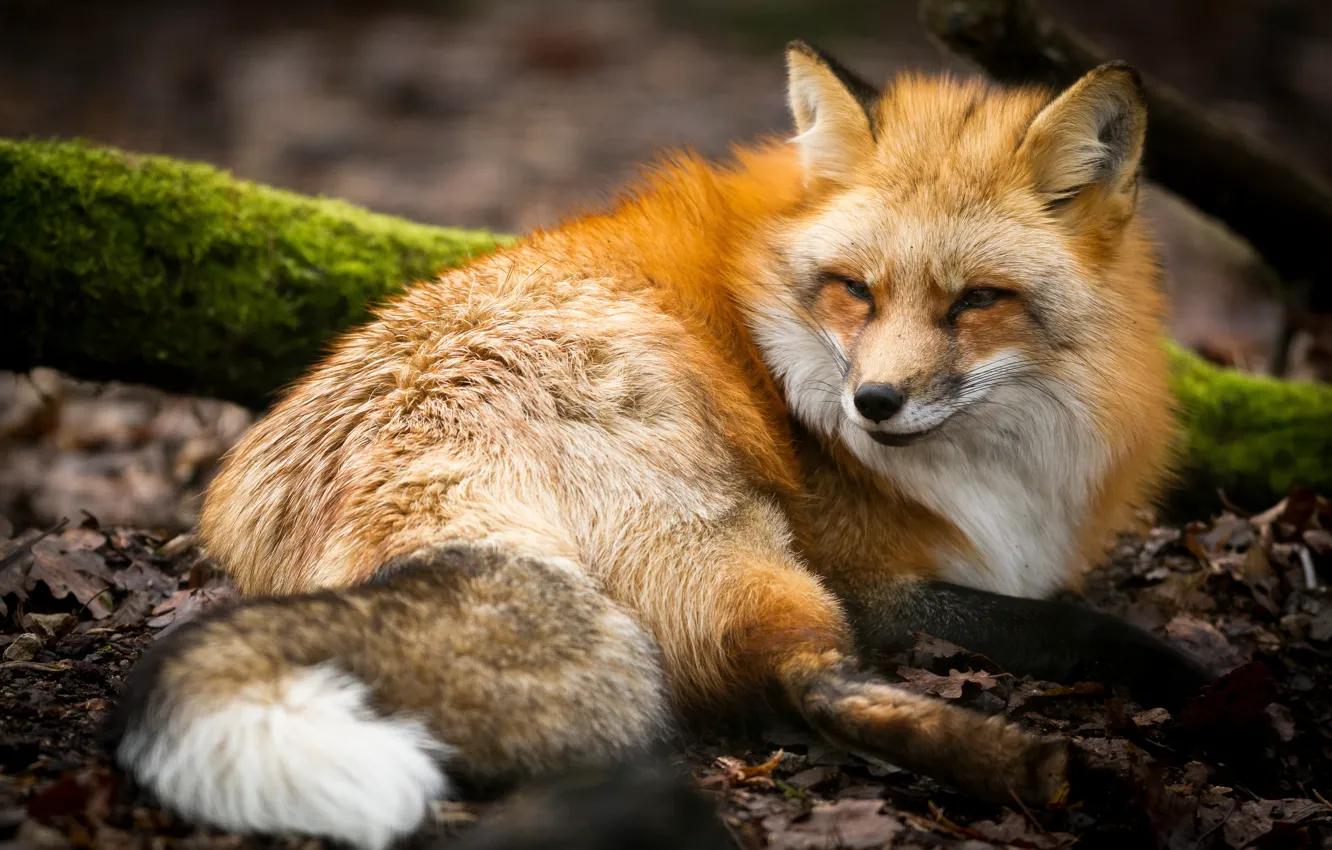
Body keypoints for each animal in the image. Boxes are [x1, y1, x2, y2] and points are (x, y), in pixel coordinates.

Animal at [108, 43, 1210, 849]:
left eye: (979, 301)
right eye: (854, 289)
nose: (873, 404)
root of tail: (384, 470)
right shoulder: (871, 579)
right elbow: (1060, 623)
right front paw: (1193, 679)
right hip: (754, 552)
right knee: (803, 687)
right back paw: (1028, 767)